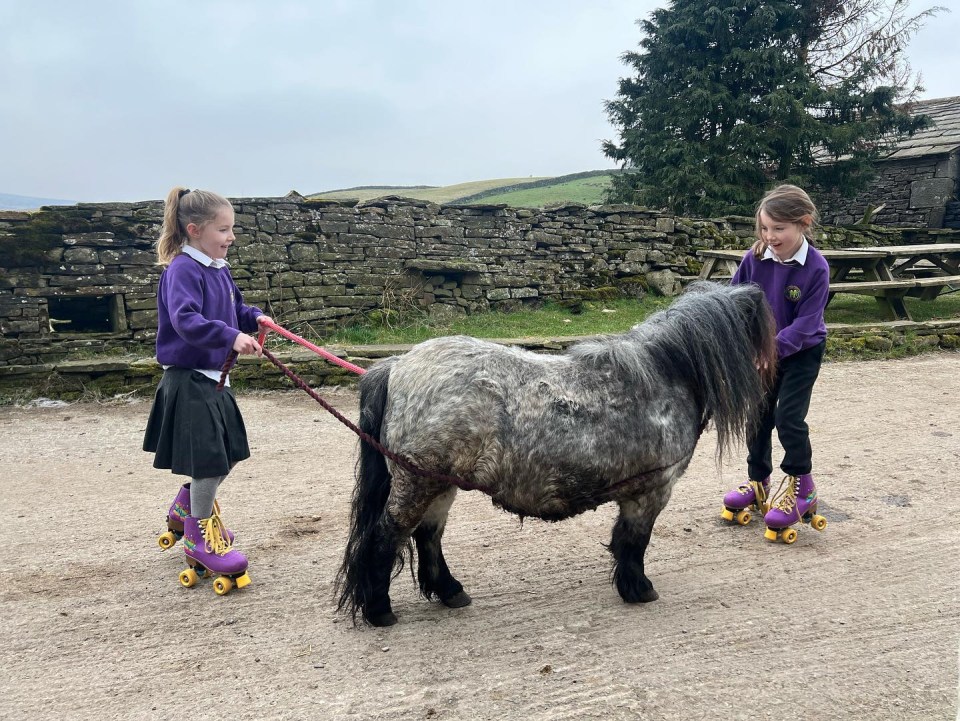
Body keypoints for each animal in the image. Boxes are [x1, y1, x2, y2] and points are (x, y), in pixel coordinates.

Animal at [334, 282, 776, 624]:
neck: (663, 375)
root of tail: (396, 366)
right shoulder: (652, 492)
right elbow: (635, 542)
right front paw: (639, 588)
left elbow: (623, 540)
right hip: (417, 482)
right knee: (386, 536)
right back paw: (379, 610)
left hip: (439, 483)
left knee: (428, 535)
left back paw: (450, 591)